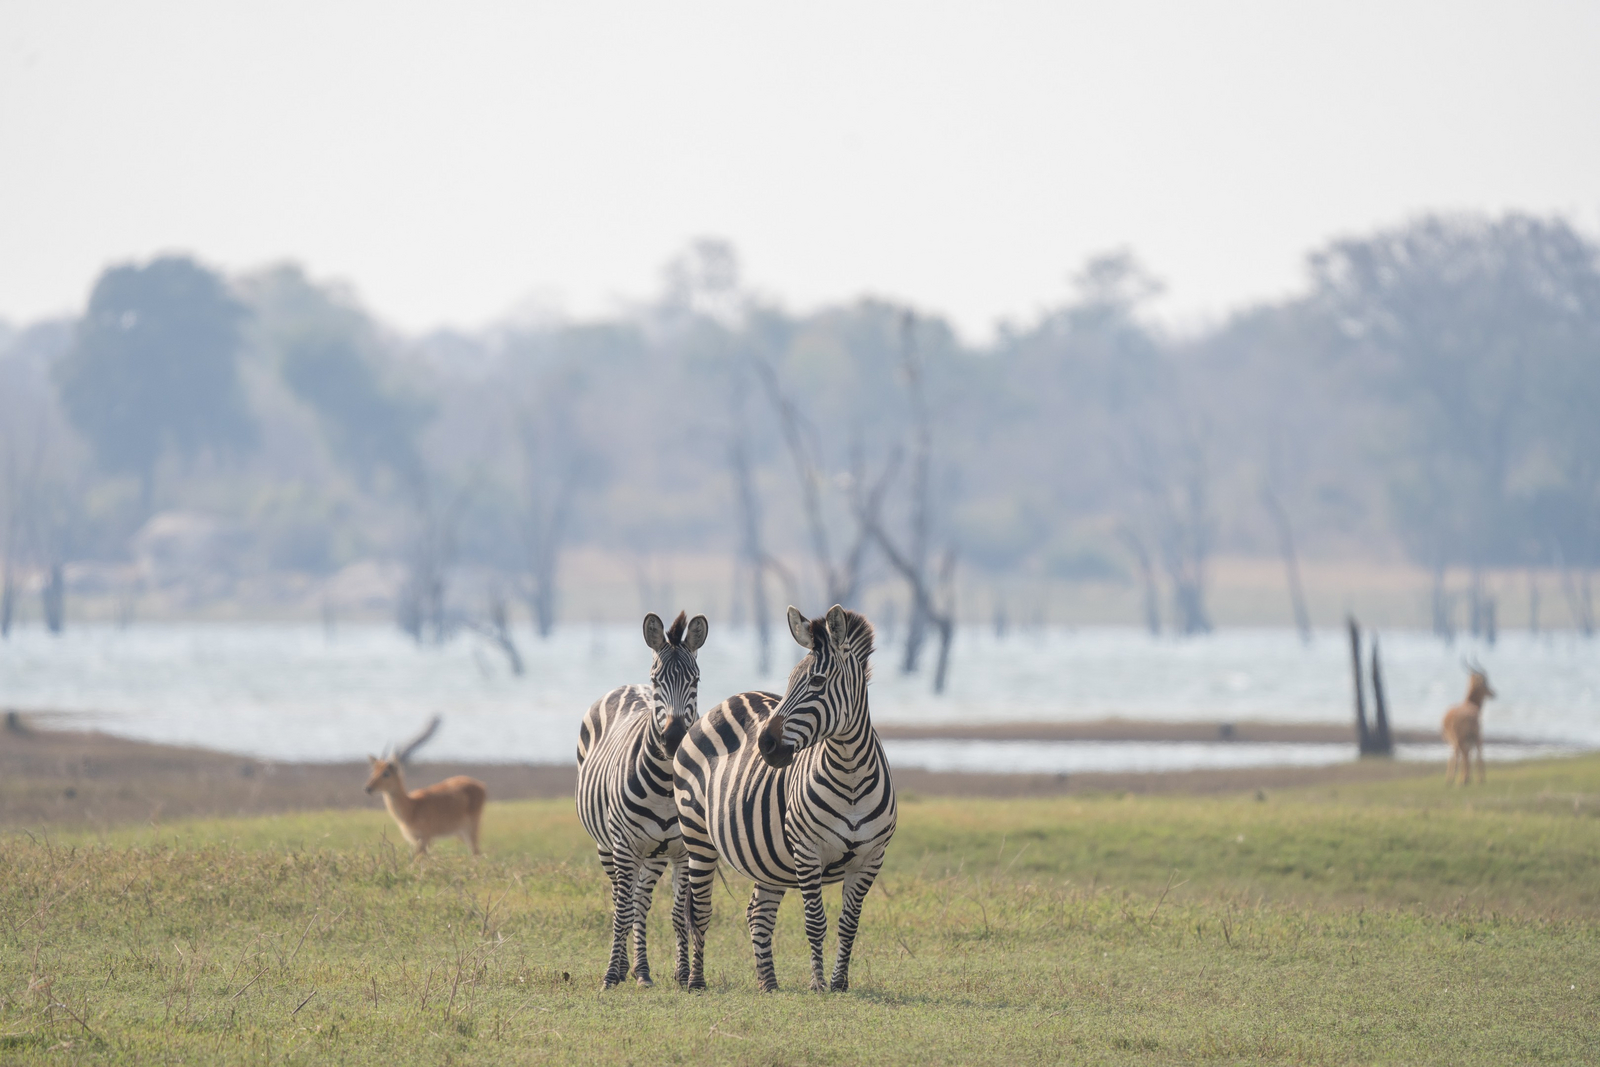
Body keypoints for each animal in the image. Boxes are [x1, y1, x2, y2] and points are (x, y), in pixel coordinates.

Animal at [575, 609, 708, 989]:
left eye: (695, 680)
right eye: (657, 680)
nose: (674, 737)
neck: (665, 786)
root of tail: (627, 686)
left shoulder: (681, 851)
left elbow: (676, 914)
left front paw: (683, 974)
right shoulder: (623, 845)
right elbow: (620, 911)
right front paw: (610, 975)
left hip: (653, 855)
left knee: (640, 901)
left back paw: (642, 970)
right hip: (609, 848)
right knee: (621, 899)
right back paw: (622, 968)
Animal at [674, 604, 895, 993]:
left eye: (817, 683)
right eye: (790, 681)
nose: (766, 745)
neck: (851, 775)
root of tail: (729, 699)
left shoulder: (870, 859)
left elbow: (848, 924)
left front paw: (839, 984)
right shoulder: (807, 852)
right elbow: (816, 922)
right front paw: (819, 985)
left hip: (766, 857)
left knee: (758, 912)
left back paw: (769, 984)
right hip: (697, 836)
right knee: (699, 911)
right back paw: (697, 982)